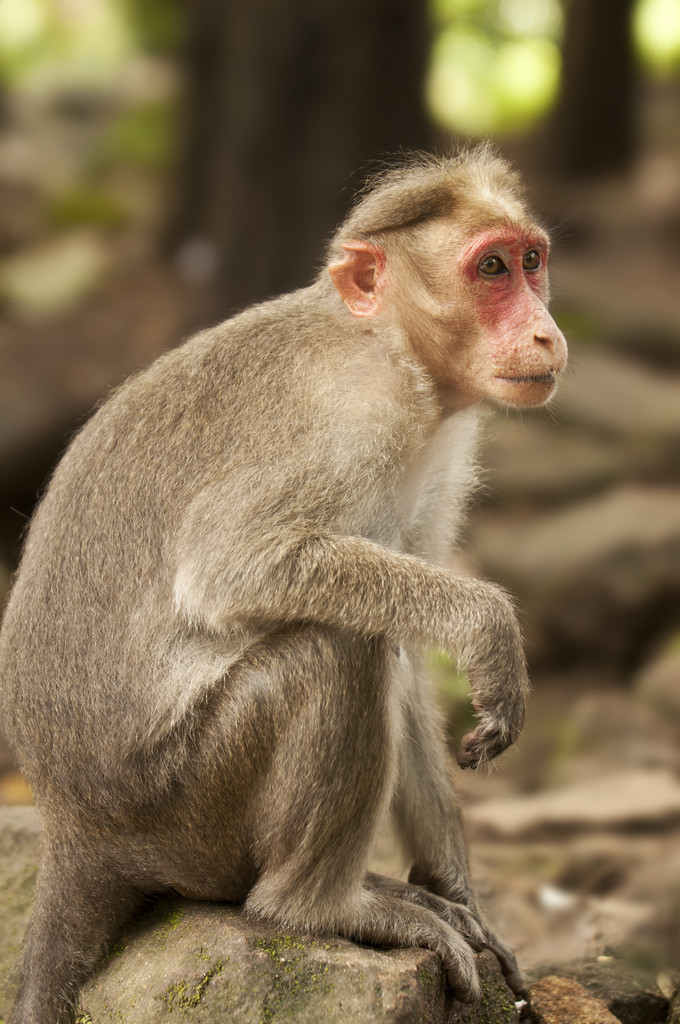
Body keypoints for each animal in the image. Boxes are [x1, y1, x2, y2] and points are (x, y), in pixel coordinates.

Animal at [0, 146, 561, 1024]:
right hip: (185, 805)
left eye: (532, 262)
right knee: (340, 645)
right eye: (491, 269)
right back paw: (316, 908)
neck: (396, 357)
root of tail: (73, 831)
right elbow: (232, 563)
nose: (545, 328)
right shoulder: (346, 419)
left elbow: (407, 643)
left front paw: (456, 888)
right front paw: (488, 625)